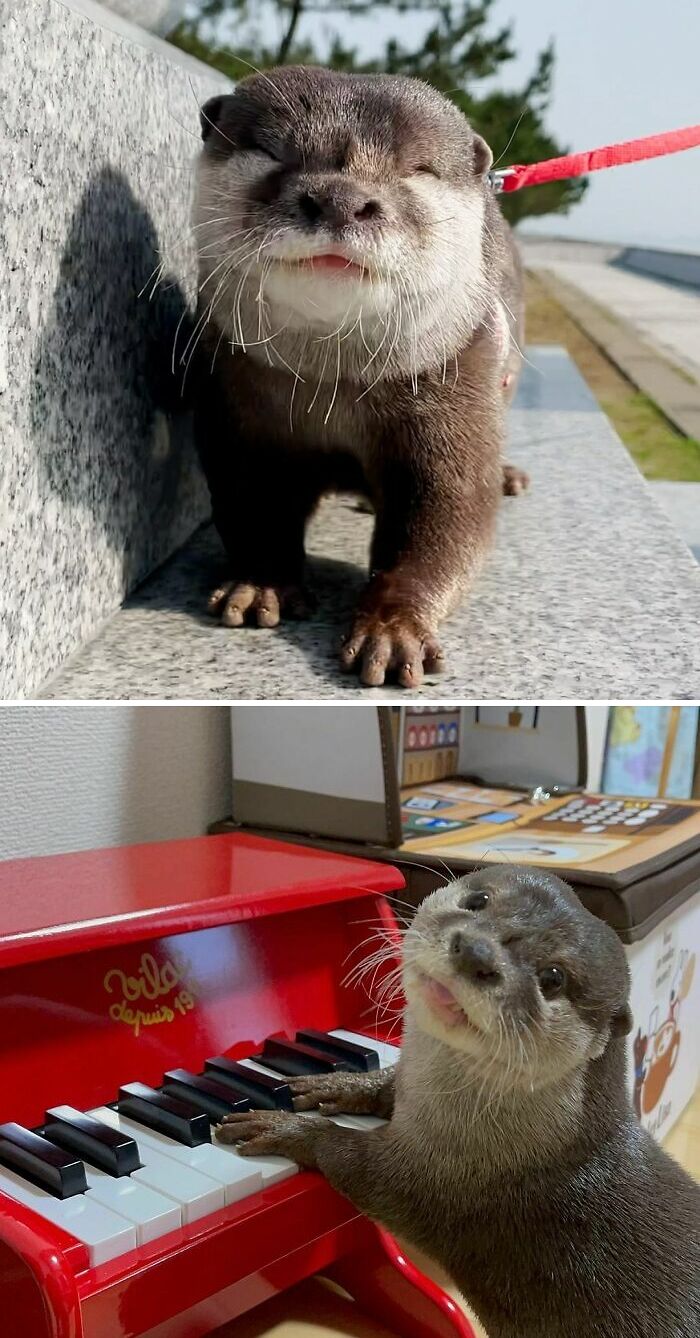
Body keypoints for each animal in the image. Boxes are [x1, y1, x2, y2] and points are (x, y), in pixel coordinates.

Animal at [192, 66, 525, 687]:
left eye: (416, 170)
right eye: (271, 150)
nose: (340, 198)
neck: (335, 389)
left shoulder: (458, 381)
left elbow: (453, 511)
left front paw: (392, 629)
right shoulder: (234, 400)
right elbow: (250, 498)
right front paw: (261, 583)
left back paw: (509, 475)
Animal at [217, 865, 700, 1337]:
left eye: (553, 977)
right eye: (478, 900)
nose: (476, 952)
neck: (531, 1148)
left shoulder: (439, 1186)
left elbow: (356, 1164)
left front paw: (286, 1128)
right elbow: (384, 1088)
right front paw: (332, 1084)